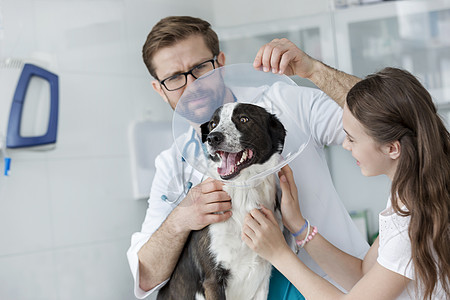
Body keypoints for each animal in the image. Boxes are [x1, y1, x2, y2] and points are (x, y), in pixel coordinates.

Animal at [157, 102, 284, 298]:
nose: (212, 138)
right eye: (213, 124)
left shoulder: (263, 280)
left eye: (244, 119)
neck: (244, 191)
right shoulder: (212, 280)